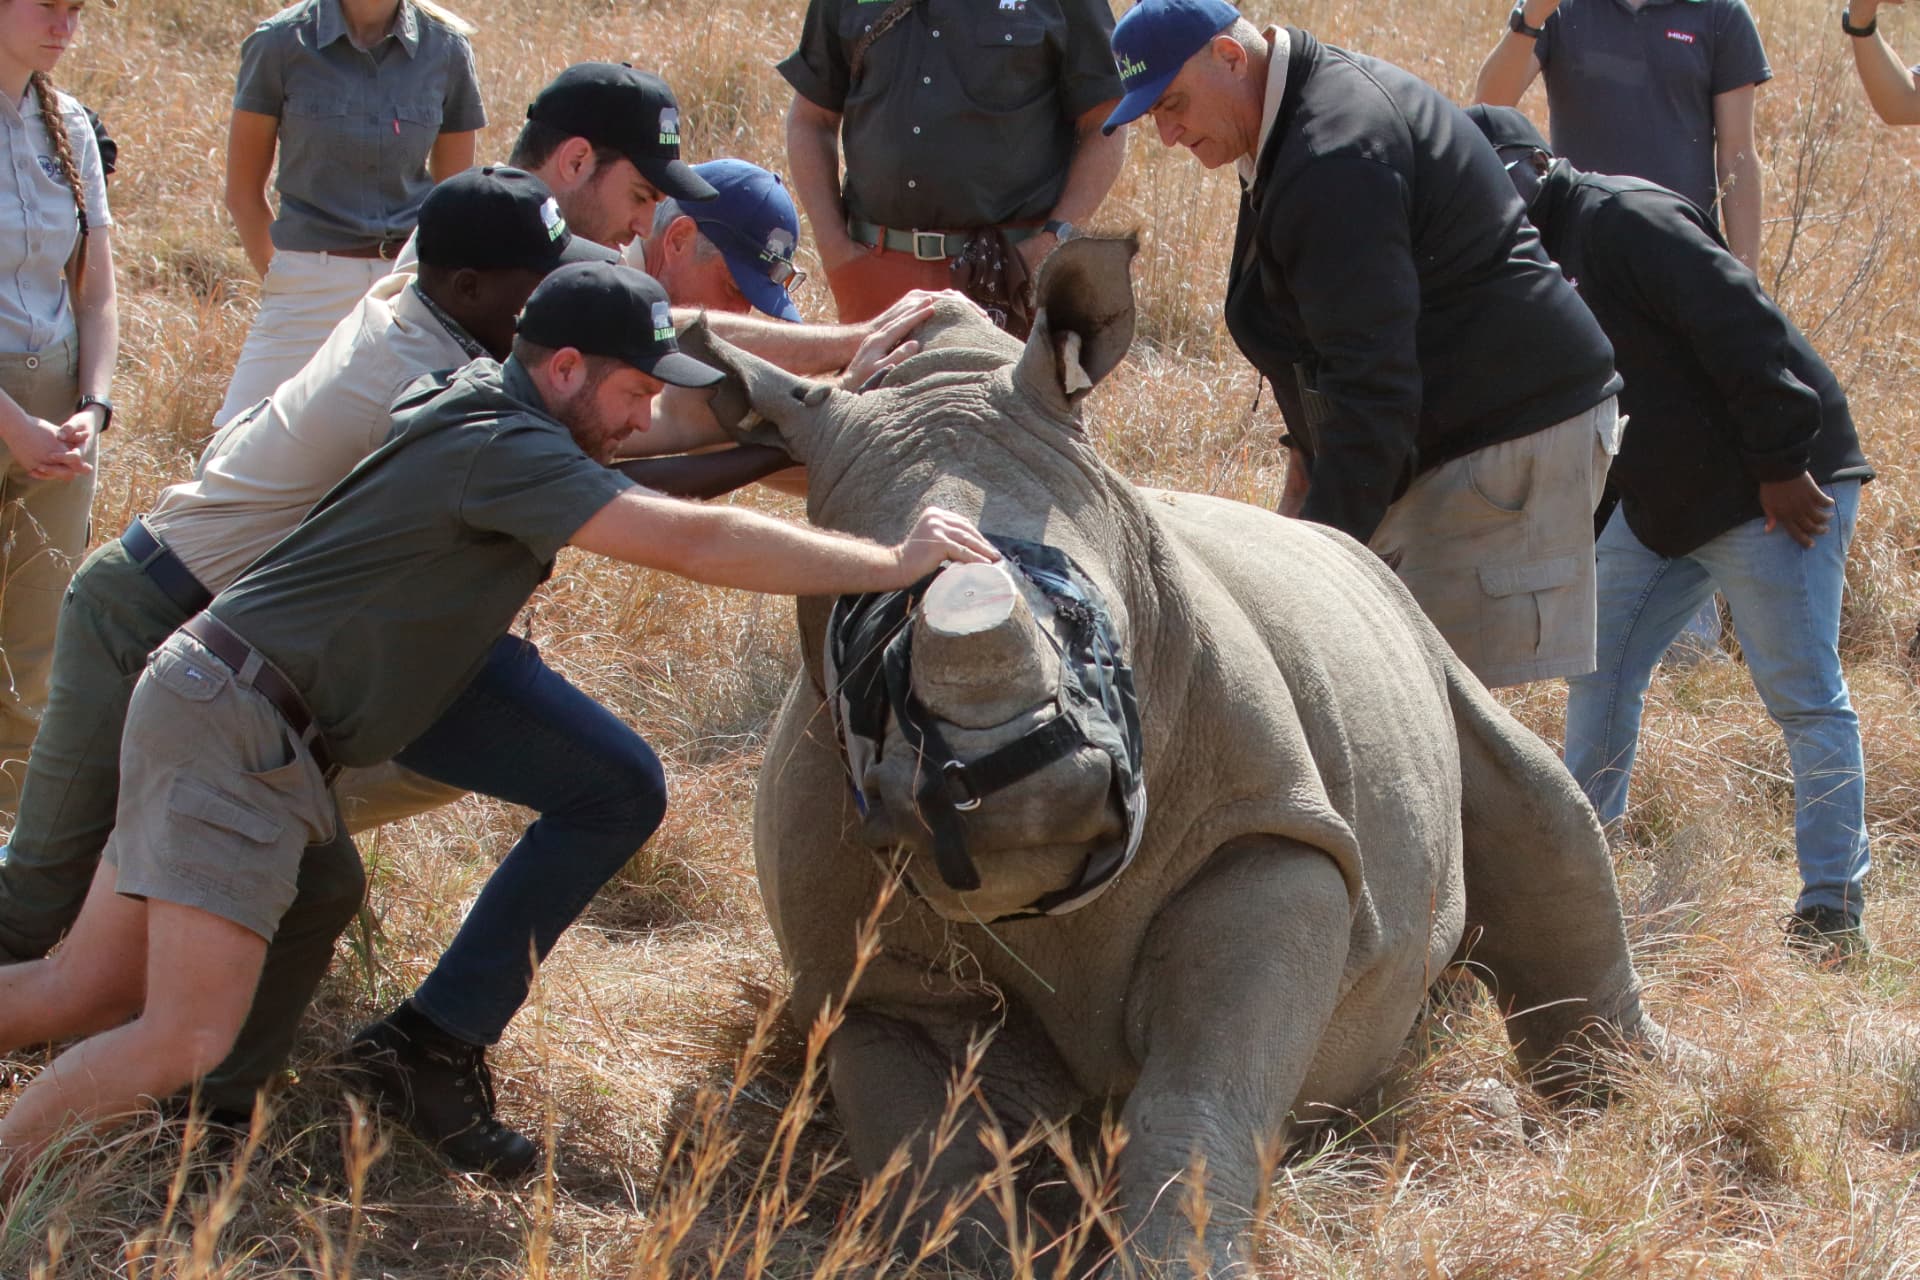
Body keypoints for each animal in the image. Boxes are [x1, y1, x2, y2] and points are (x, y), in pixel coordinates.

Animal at [681, 238, 1662, 1274]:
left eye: (1087, 621)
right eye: (865, 649)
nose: (1010, 796)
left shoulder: (1270, 836)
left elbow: (1198, 1095)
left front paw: (1179, 1261)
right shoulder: (859, 974)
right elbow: (929, 1153)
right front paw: (981, 1251)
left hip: (1419, 630)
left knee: (1540, 800)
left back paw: (1630, 1099)